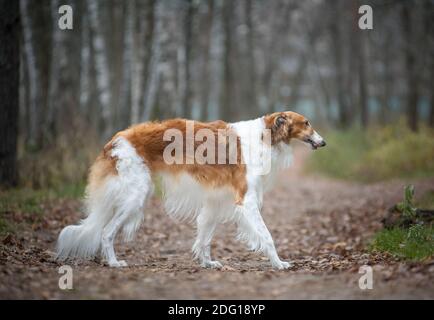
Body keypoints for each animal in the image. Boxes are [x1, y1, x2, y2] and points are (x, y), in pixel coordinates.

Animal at [55, 111, 326, 268]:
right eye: (307, 123)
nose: (323, 142)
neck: (264, 136)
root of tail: (115, 140)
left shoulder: (216, 200)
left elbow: (204, 237)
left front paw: (207, 263)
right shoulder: (246, 200)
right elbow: (267, 236)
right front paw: (279, 263)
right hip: (135, 196)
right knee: (106, 232)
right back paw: (113, 263)